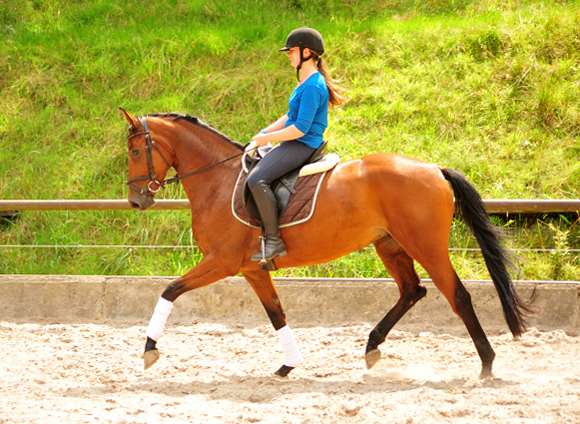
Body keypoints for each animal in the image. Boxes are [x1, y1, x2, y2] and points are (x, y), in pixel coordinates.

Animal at [120, 108, 532, 378]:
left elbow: (170, 290)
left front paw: (149, 350)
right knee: (412, 291)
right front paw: (288, 365)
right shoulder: (253, 269)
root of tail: (433, 168)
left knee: (456, 295)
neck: (217, 181)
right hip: (389, 244)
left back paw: (487, 364)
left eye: (136, 151)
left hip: (424, 246)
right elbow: (277, 314)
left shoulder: (221, 262)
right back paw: (372, 346)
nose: (136, 201)